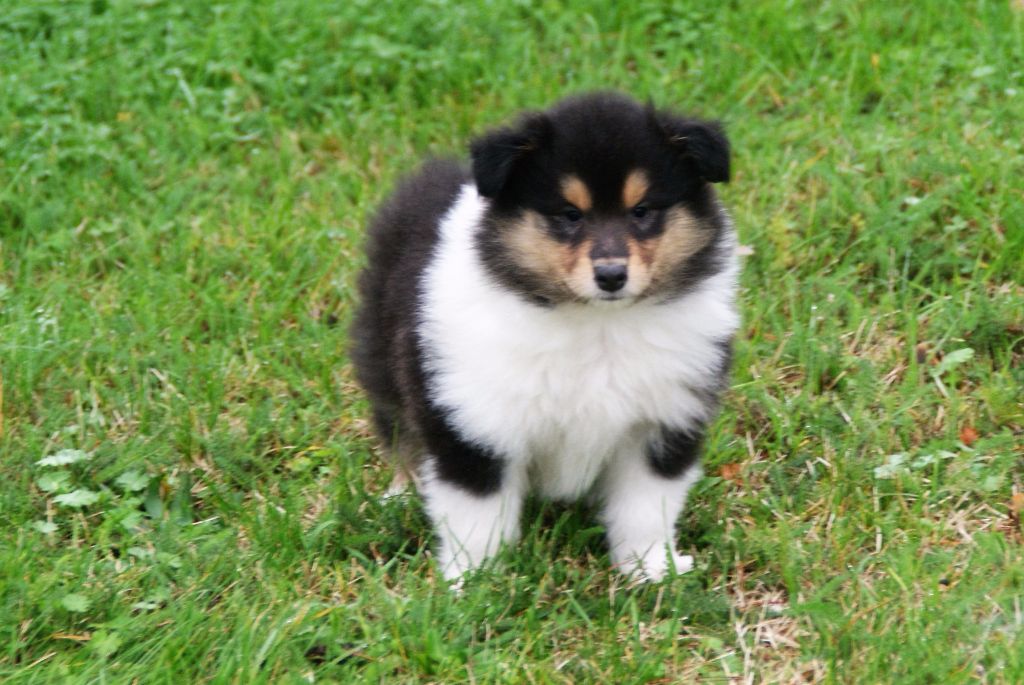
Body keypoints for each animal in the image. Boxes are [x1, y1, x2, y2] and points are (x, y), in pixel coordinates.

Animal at [351, 92, 739, 582]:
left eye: (642, 211)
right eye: (569, 215)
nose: (611, 276)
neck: (597, 324)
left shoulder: (663, 423)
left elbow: (646, 509)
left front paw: (651, 570)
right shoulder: (475, 421)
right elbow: (477, 516)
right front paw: (475, 581)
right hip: (387, 356)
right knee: (399, 431)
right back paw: (400, 496)